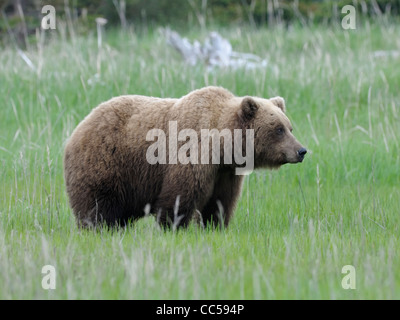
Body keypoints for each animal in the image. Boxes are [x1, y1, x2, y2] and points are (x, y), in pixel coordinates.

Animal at [64, 86, 306, 229]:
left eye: (289, 127)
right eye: (278, 129)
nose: (301, 151)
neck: (223, 147)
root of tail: (79, 127)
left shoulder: (225, 173)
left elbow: (220, 202)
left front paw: (215, 225)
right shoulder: (192, 154)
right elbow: (179, 197)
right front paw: (173, 227)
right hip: (107, 162)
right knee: (98, 205)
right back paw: (98, 227)